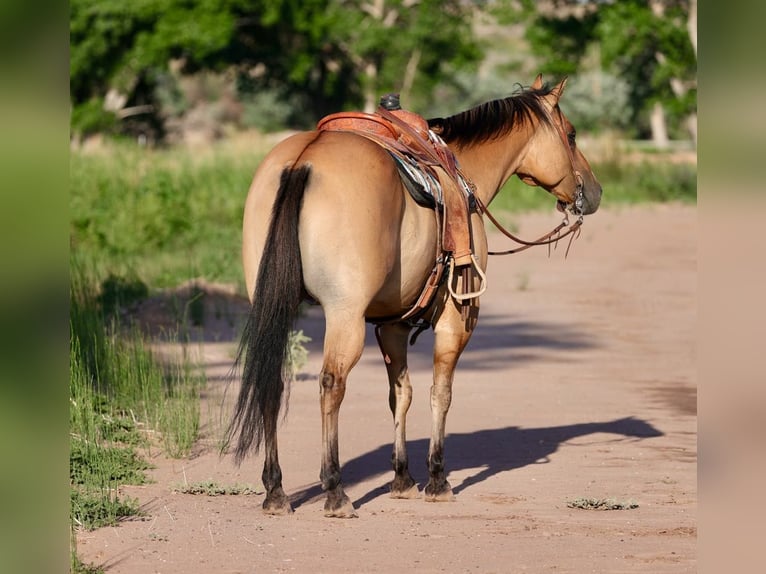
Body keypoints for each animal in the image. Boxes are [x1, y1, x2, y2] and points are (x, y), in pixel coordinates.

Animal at [226, 75, 602, 518]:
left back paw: (276, 491)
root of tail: (305, 159)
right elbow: (440, 393)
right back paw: (335, 490)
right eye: (572, 135)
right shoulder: (457, 319)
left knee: (271, 381)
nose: (593, 191)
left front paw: (402, 479)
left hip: (273, 306)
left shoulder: (393, 324)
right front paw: (437, 479)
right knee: (332, 383)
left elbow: (400, 394)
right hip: (344, 315)